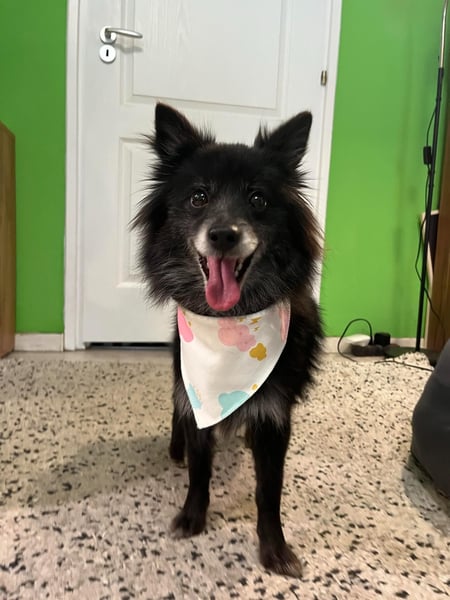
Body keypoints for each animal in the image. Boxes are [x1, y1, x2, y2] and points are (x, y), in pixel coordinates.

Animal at [134, 103, 323, 577]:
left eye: (258, 200)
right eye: (199, 197)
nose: (223, 234)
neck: (230, 327)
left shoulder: (274, 416)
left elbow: (269, 490)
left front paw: (274, 550)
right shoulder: (195, 391)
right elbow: (200, 470)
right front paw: (192, 519)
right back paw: (176, 448)